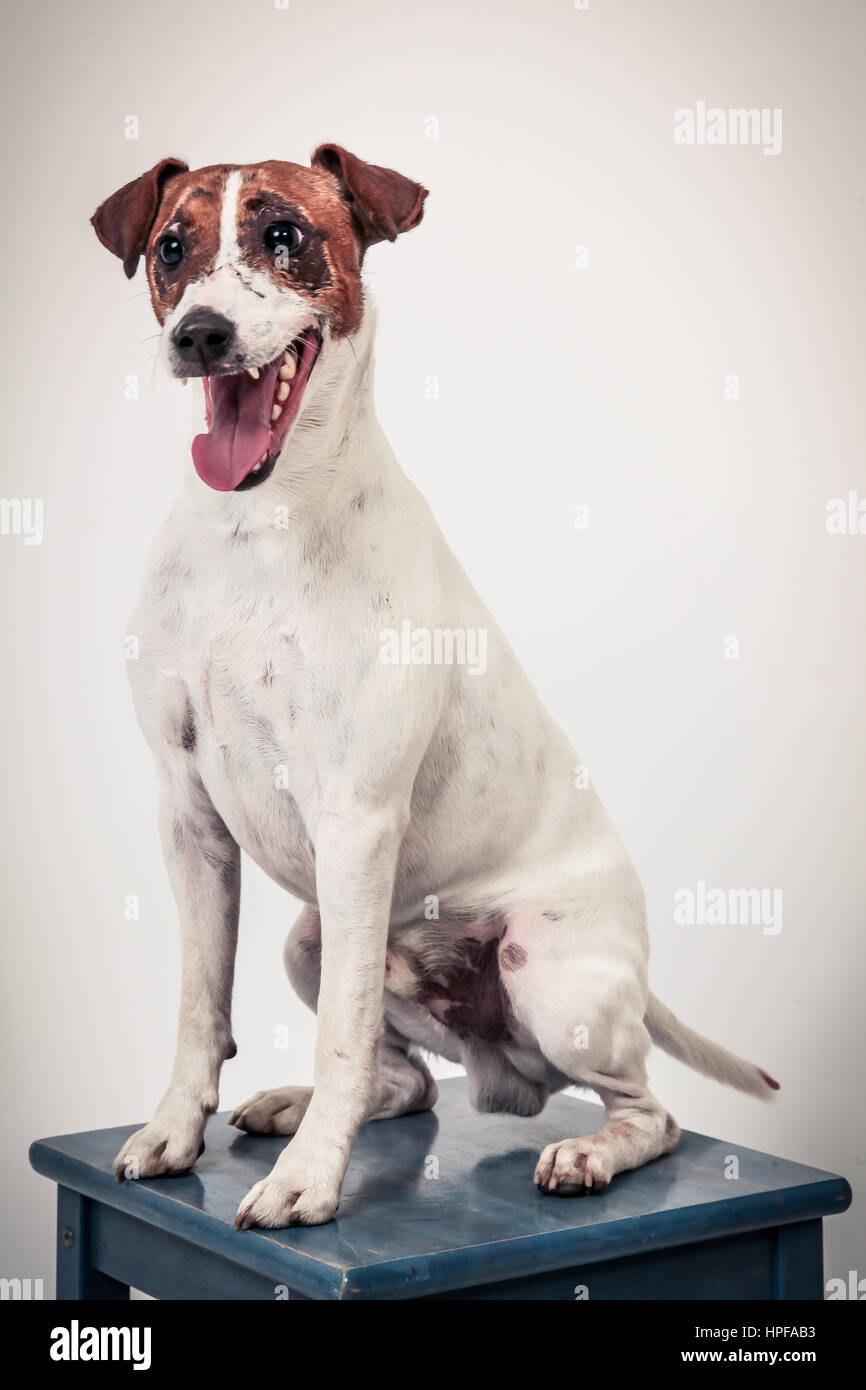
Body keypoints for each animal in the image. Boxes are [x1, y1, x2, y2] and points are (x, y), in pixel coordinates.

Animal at [89, 143, 778, 1228]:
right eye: (169, 248)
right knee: (404, 1079)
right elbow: (201, 1007)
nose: (200, 334)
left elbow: (340, 1033)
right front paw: (173, 1131)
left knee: (649, 1111)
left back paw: (586, 1152)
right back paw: (298, 1106)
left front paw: (309, 1185)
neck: (256, 533)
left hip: (547, 976)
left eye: (283, 235)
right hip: (314, 937)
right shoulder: (189, 816)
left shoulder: (357, 821)